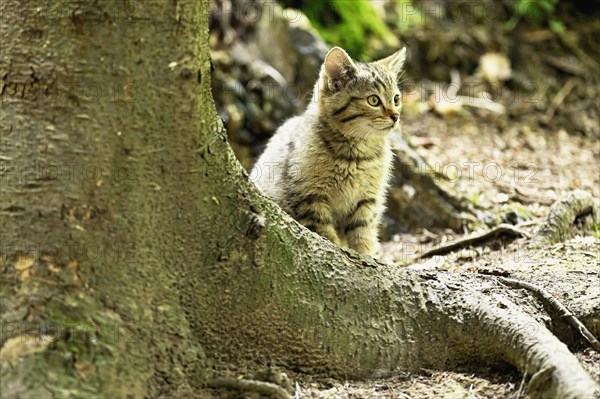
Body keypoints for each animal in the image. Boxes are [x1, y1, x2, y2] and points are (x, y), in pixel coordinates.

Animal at [251, 47, 406, 256]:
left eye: (396, 99)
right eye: (373, 100)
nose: (396, 116)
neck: (356, 156)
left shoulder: (367, 200)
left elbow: (363, 232)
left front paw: (366, 255)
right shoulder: (308, 197)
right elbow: (324, 232)